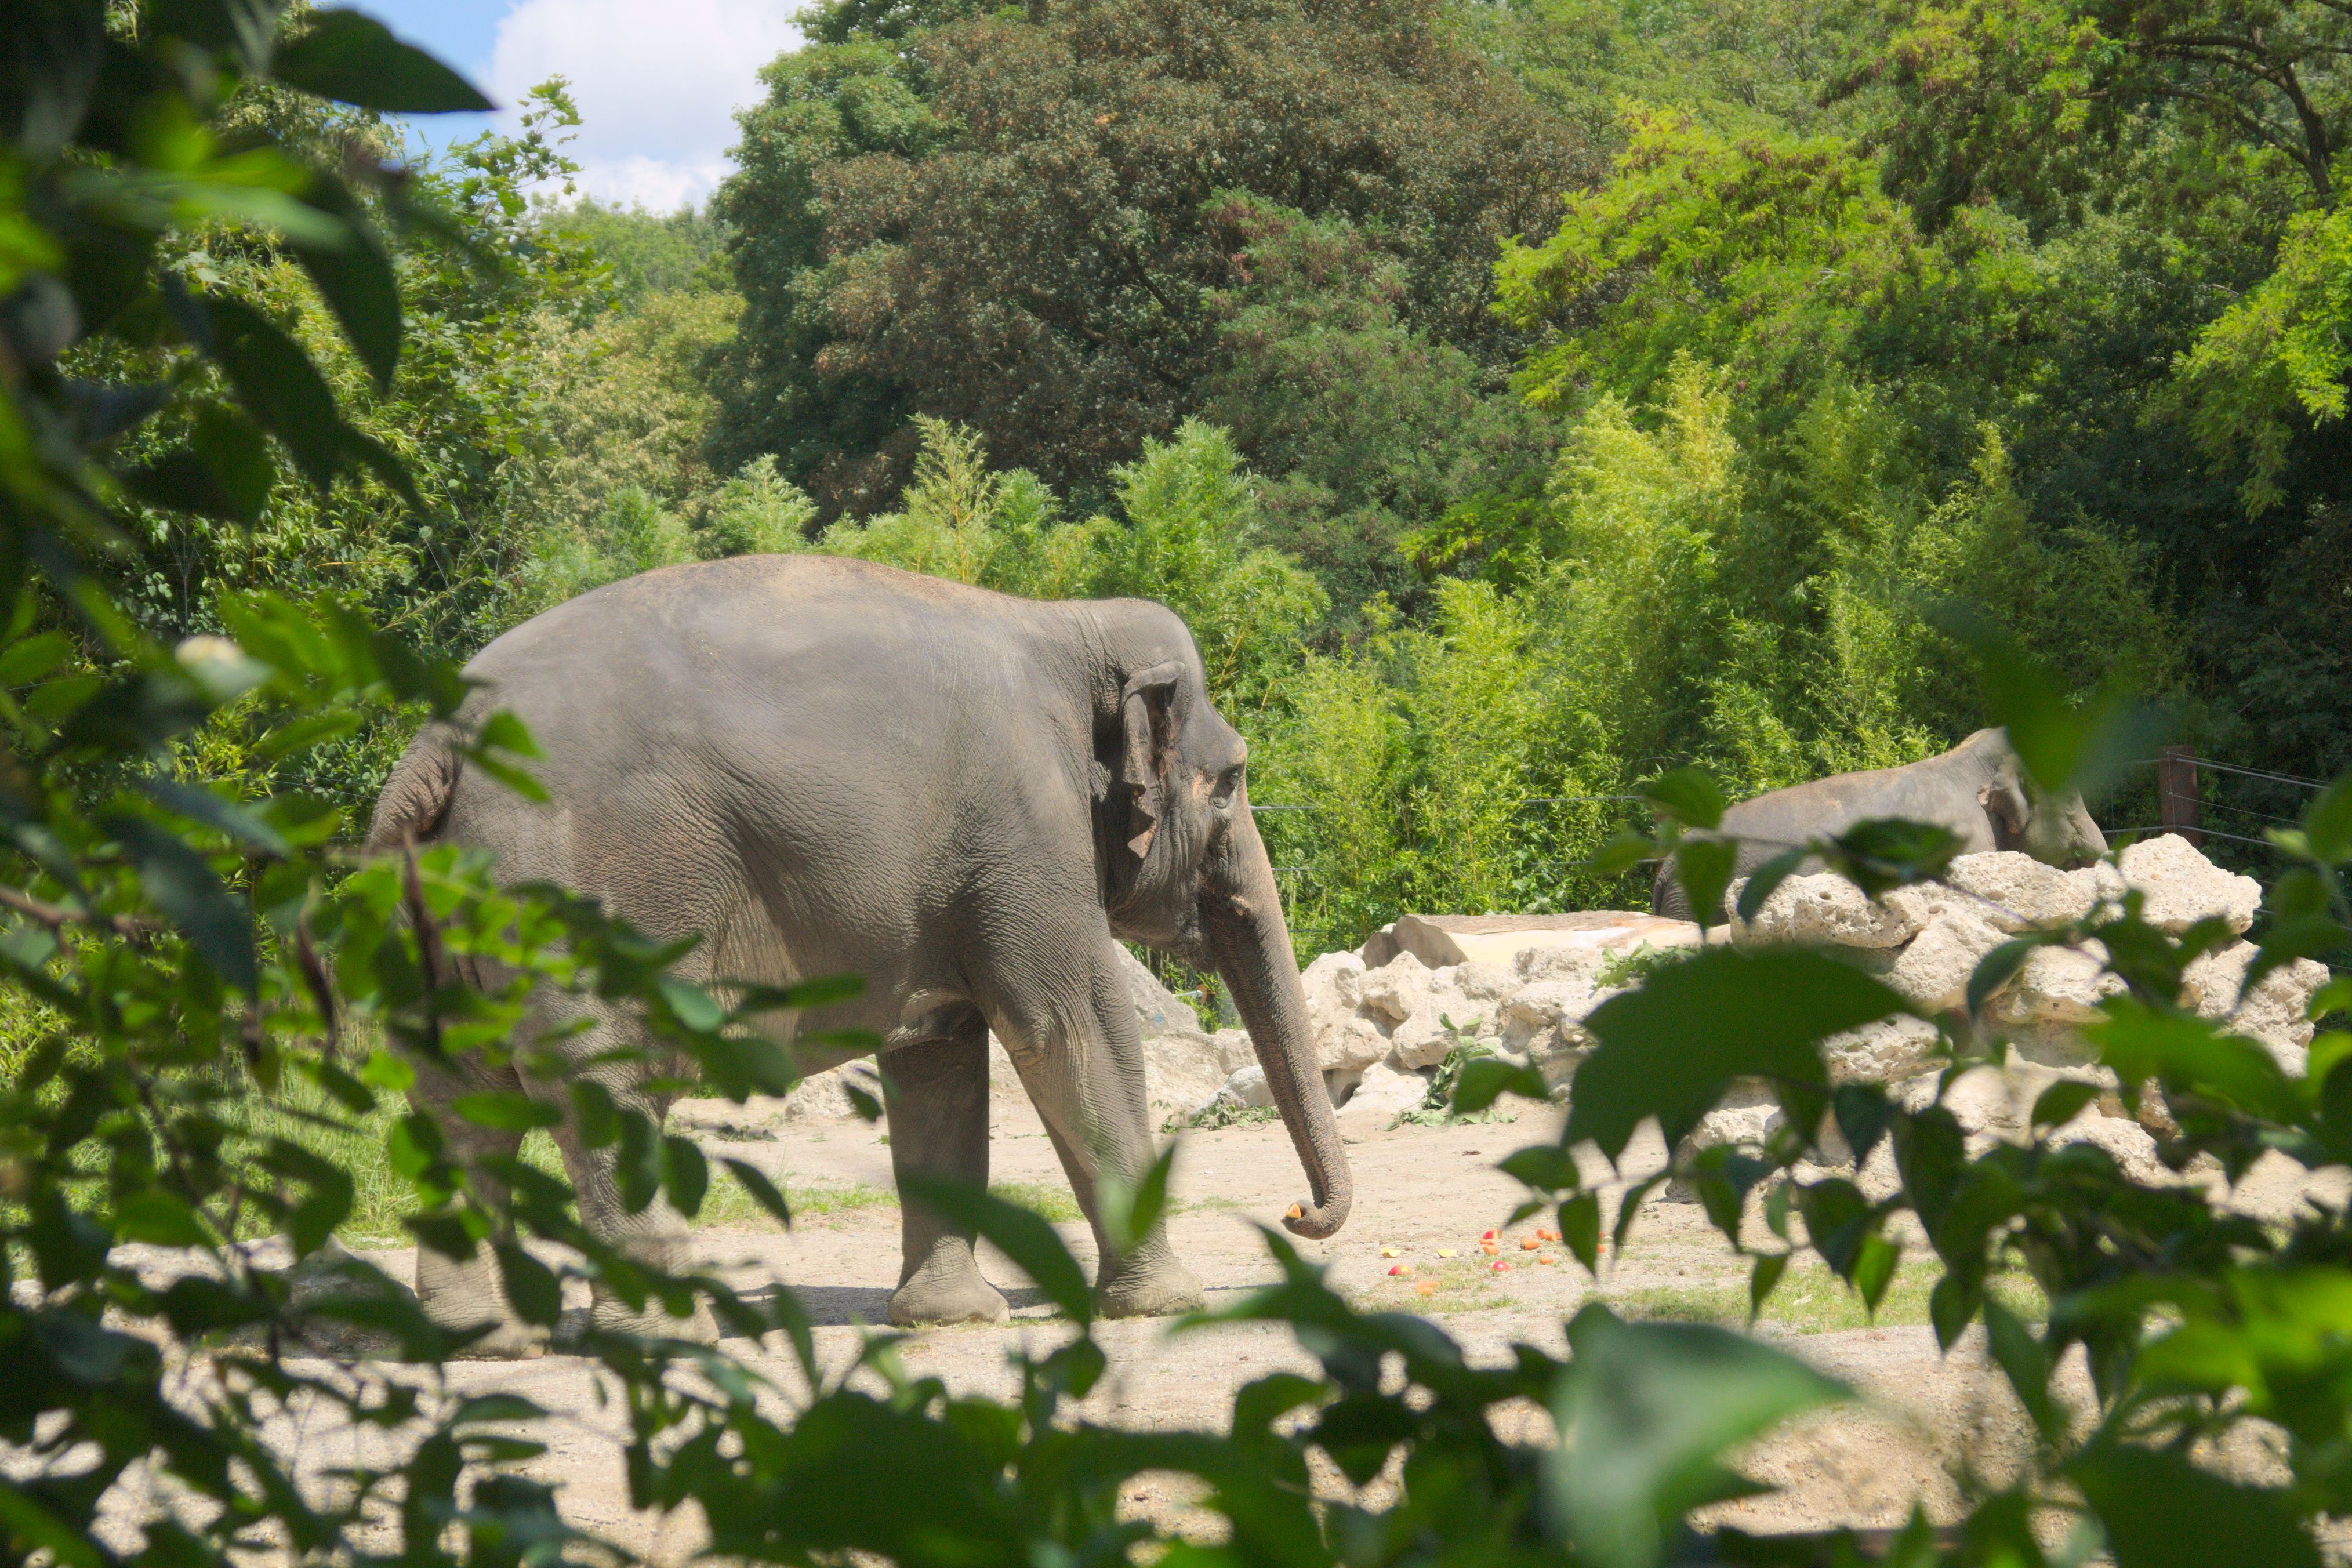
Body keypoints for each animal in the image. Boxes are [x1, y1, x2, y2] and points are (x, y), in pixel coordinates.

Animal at [369, 552, 1364, 1354]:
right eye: (1232, 780)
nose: (1295, 1213)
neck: (1066, 622)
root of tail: (432, 747)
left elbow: (937, 1059)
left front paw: (952, 1319)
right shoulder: (1027, 835)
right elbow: (1071, 1030)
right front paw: (1168, 1303)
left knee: (461, 1101)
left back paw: (486, 1341)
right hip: (590, 898)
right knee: (606, 1089)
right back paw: (669, 1334)